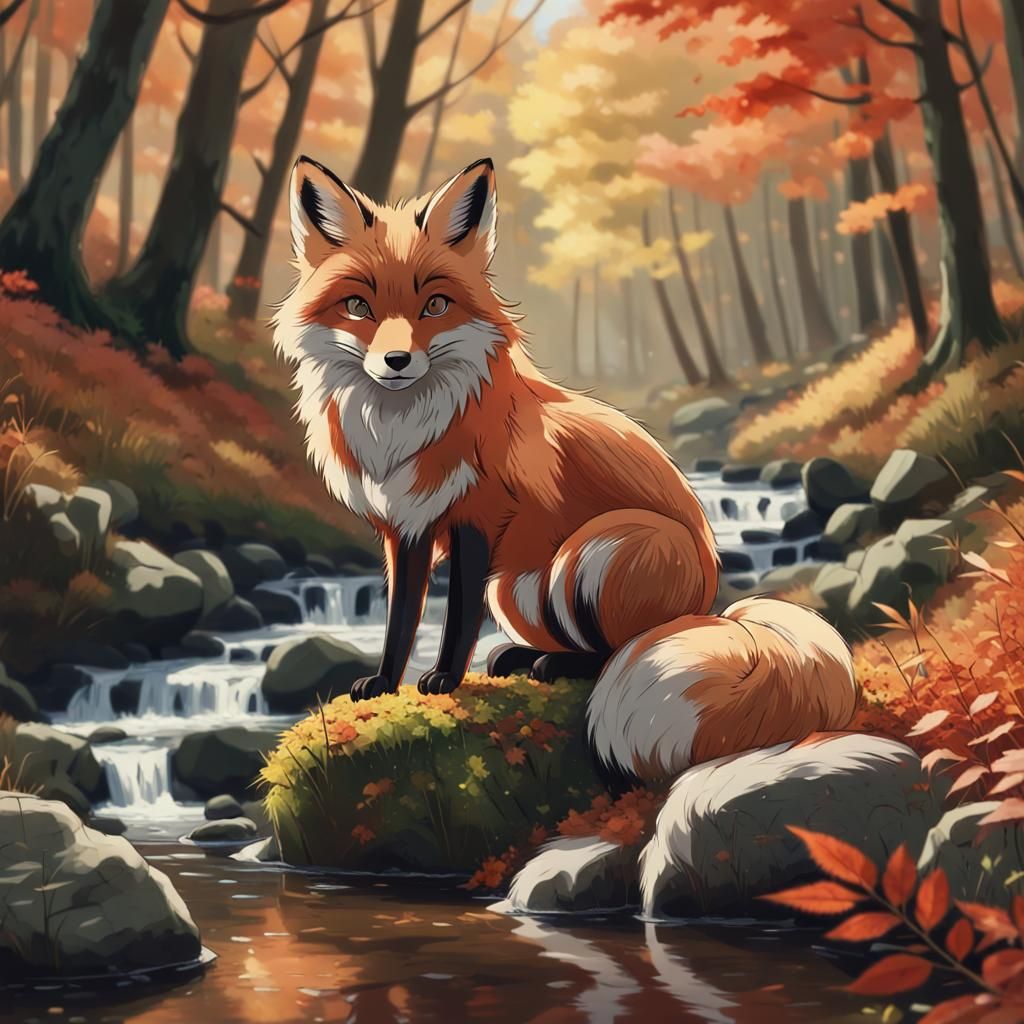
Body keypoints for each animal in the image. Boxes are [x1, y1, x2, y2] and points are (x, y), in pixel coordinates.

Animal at [273, 155, 860, 784]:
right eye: (358, 307)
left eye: (435, 306)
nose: (397, 361)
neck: (403, 433)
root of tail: (708, 606)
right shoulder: (404, 527)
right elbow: (400, 618)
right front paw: (385, 682)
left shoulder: (480, 517)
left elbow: (456, 618)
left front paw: (446, 678)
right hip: (515, 590)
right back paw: (525, 656)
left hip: (590, 555)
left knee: (613, 651)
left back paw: (555, 666)